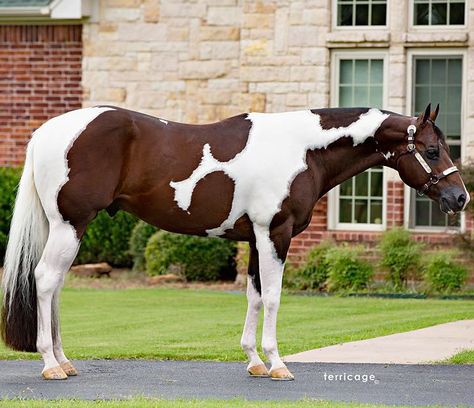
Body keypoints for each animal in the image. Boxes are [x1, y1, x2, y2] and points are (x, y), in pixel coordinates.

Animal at [0, 103, 466, 380]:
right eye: (432, 150)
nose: (459, 198)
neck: (302, 150)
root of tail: (47, 132)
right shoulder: (275, 233)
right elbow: (275, 297)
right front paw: (277, 363)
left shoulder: (256, 238)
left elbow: (255, 297)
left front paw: (254, 361)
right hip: (70, 225)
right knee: (45, 280)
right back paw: (50, 364)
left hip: (66, 228)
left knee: (55, 286)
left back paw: (64, 360)